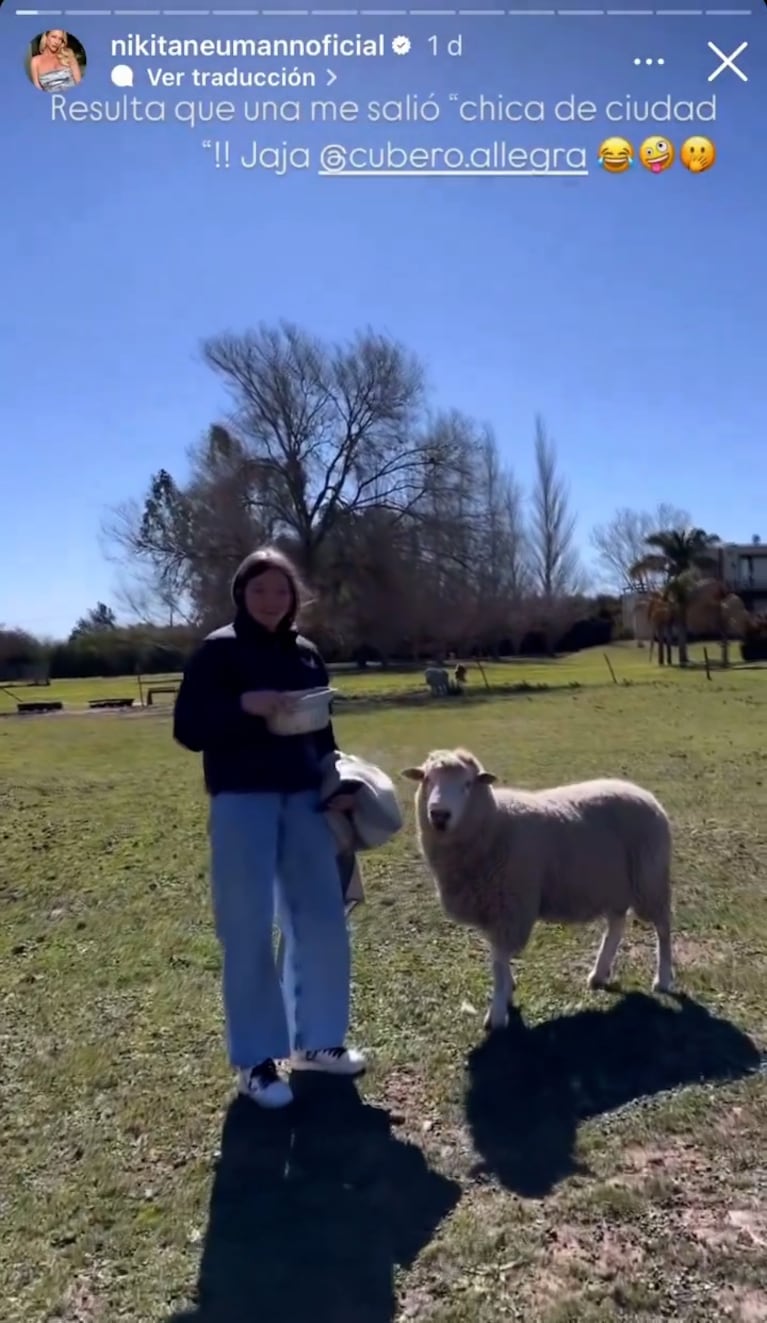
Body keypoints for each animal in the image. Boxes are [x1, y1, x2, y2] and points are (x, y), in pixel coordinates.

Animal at [399, 751, 674, 1026]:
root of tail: (645, 794)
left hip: (650, 879)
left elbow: (498, 963)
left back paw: (663, 978)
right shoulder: (492, 907)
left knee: (663, 927)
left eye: (467, 784)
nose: (439, 815)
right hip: (614, 885)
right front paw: (508, 990)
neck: (495, 824)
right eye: (427, 779)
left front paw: (497, 1013)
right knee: (616, 927)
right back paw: (599, 974)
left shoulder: (510, 906)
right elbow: (496, 957)